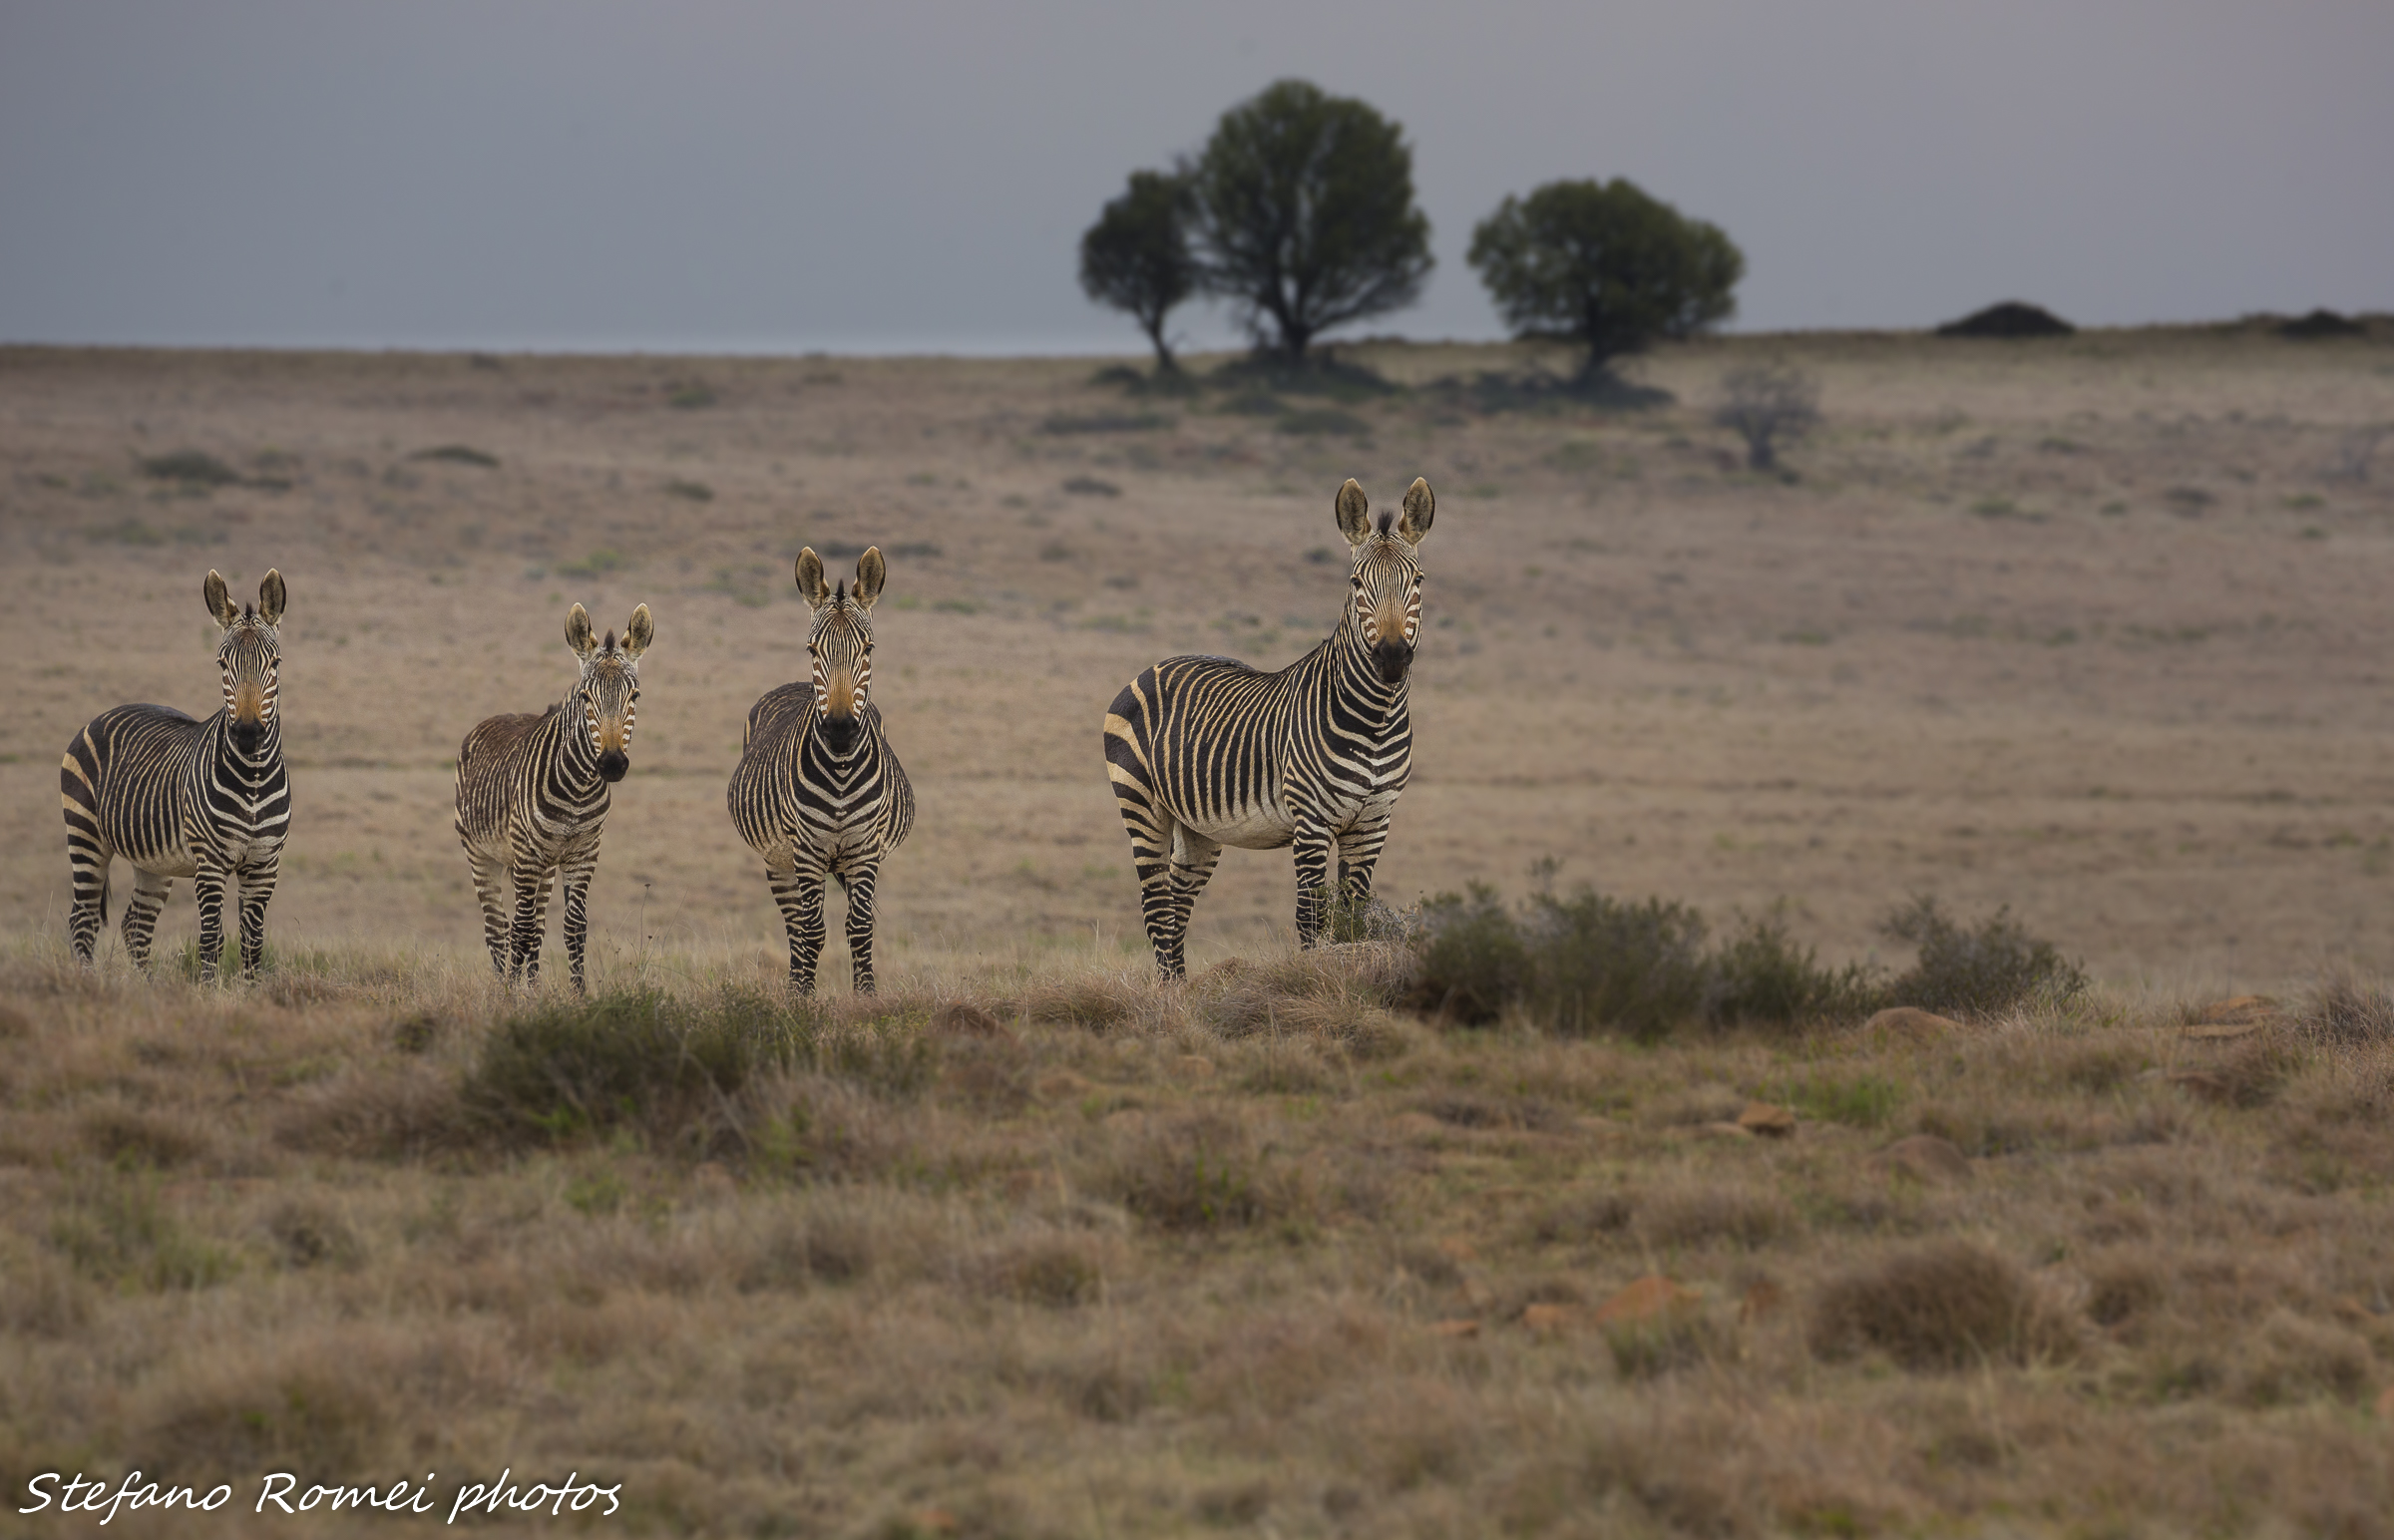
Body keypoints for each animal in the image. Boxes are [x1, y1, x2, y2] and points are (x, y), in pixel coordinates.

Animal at [61, 569, 292, 982]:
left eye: (275, 663)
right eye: (222, 664)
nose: (248, 734)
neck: (253, 778)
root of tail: (102, 714)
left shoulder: (264, 865)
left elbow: (253, 943)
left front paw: (250, 993)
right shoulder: (210, 863)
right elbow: (211, 939)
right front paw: (209, 992)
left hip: (152, 864)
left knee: (135, 925)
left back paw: (147, 988)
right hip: (85, 836)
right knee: (83, 921)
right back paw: (89, 984)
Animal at [454, 602, 653, 992]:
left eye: (635, 696)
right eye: (585, 697)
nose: (612, 763)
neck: (578, 790)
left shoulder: (584, 853)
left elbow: (573, 928)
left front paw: (576, 996)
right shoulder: (527, 854)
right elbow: (520, 929)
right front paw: (511, 997)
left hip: (543, 866)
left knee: (534, 926)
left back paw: (530, 986)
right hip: (481, 855)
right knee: (498, 928)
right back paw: (503, 985)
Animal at [728, 546, 914, 995]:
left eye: (869, 648)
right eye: (812, 650)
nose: (841, 728)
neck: (842, 770)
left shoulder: (865, 849)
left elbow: (860, 926)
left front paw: (866, 997)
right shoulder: (807, 851)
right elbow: (811, 932)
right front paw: (803, 999)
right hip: (778, 861)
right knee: (796, 925)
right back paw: (796, 986)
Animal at [1103, 477, 1434, 978]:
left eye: (1417, 581)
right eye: (1356, 583)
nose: (1393, 657)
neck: (1375, 718)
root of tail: (1152, 667)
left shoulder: (1373, 822)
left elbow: (1355, 916)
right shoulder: (1312, 821)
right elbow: (1310, 915)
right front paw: (1316, 982)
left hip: (1198, 827)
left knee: (1177, 902)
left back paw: (1181, 988)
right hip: (1141, 804)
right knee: (1156, 905)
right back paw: (1168, 992)